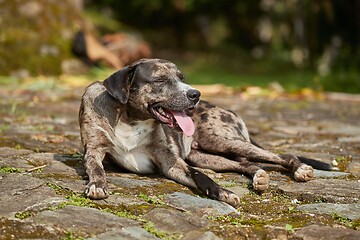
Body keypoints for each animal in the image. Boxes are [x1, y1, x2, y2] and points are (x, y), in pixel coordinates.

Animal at [79, 57, 334, 206]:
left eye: (182, 78)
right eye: (159, 80)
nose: (195, 94)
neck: (130, 118)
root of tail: (228, 109)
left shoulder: (170, 161)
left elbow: (200, 177)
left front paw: (222, 193)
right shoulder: (93, 151)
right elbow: (96, 168)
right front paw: (98, 184)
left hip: (224, 141)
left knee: (280, 155)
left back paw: (300, 169)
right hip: (206, 156)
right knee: (245, 164)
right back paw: (259, 177)